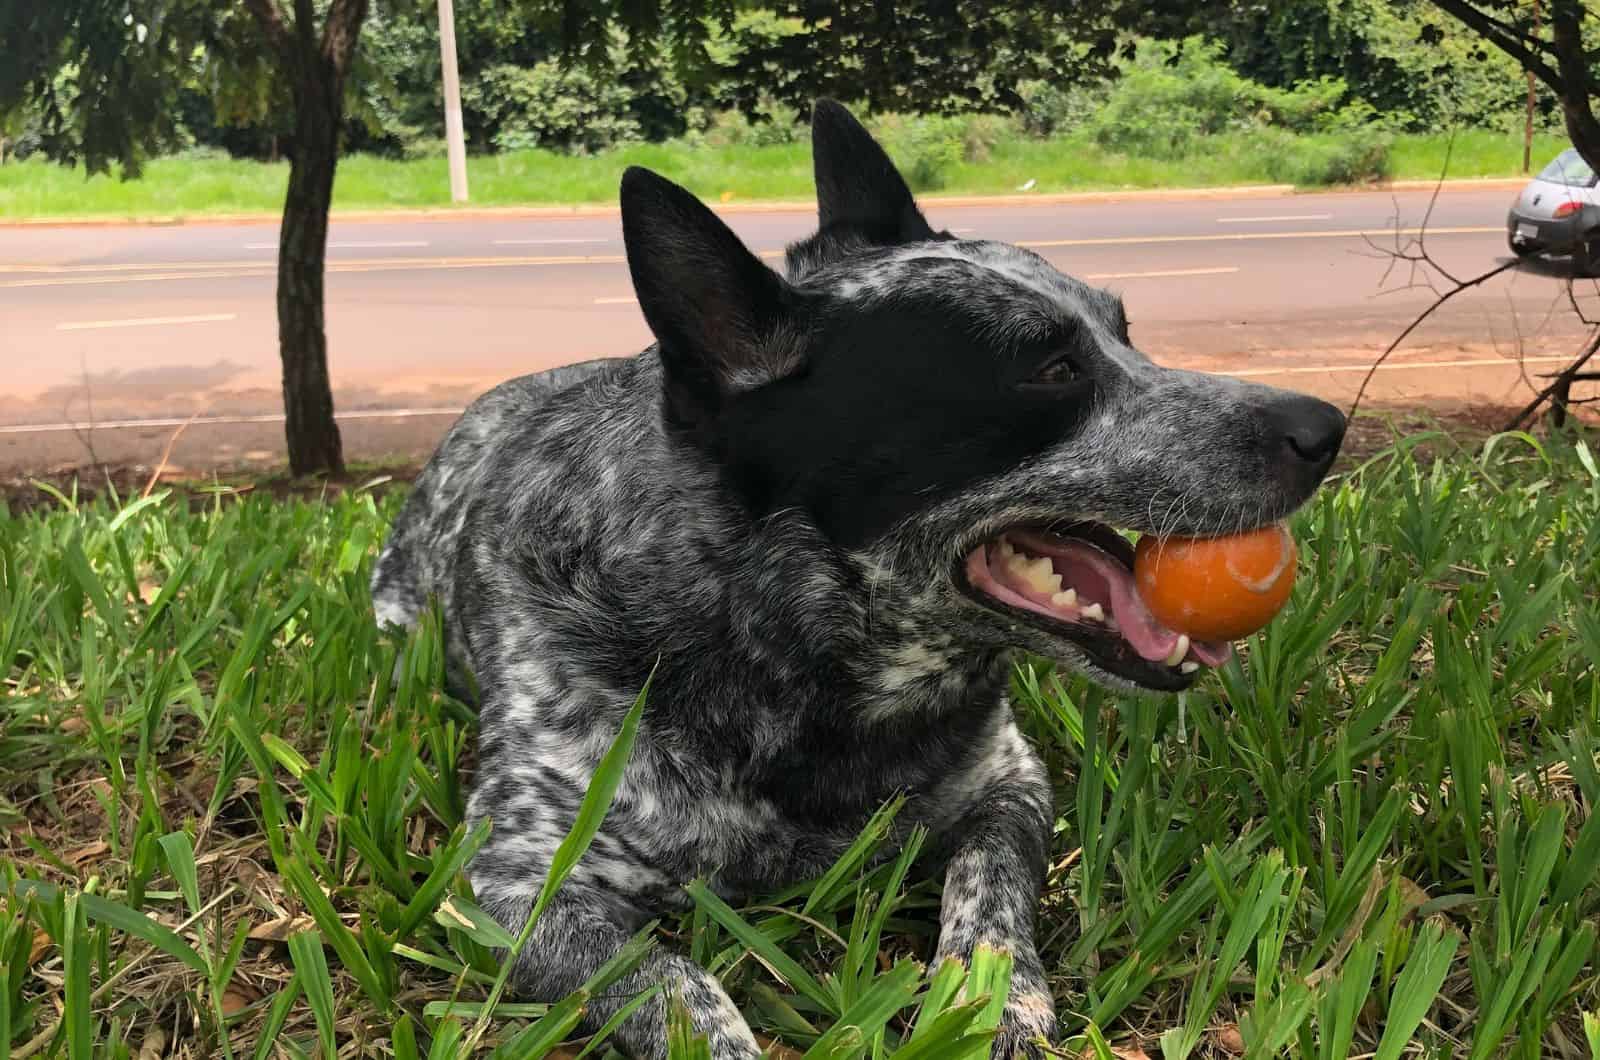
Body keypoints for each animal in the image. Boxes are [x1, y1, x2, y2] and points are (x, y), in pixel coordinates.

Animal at [368, 101, 1344, 1060]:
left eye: (1125, 334)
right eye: (1052, 369)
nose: (1326, 426)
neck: (781, 649)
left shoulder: (1008, 784)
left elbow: (988, 895)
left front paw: (993, 1004)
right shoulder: (513, 883)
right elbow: (671, 978)